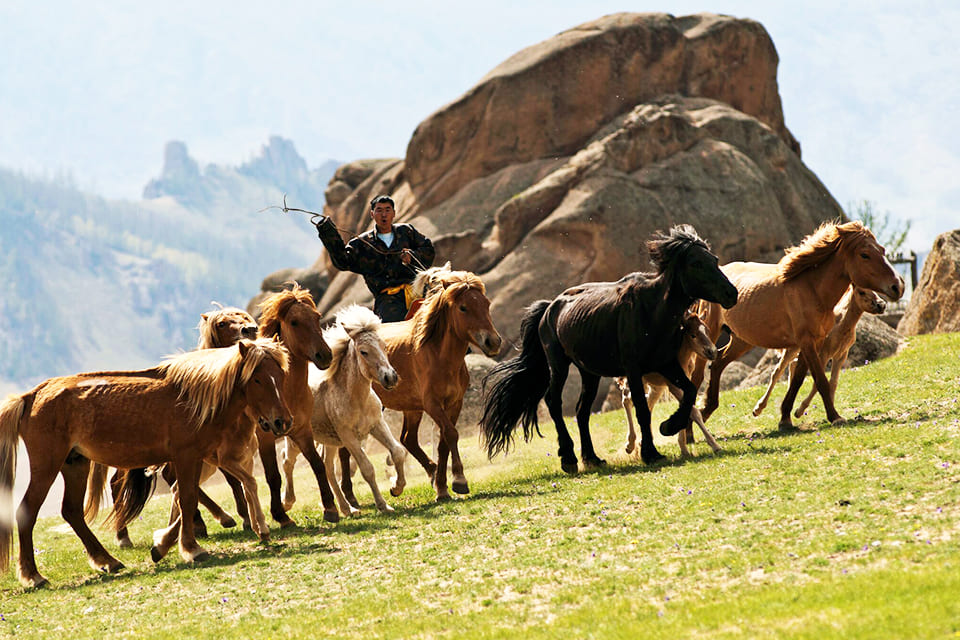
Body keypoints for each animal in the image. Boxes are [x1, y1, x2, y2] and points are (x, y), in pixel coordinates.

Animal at [0, 338, 291, 588]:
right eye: (257, 379)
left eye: (281, 376)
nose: (282, 422)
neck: (192, 399)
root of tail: (31, 397)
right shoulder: (186, 456)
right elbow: (187, 499)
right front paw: (192, 549)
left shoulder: (199, 457)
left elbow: (187, 497)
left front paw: (166, 546)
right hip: (47, 466)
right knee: (28, 511)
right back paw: (33, 575)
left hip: (75, 465)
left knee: (72, 511)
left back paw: (108, 561)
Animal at [280, 305, 407, 516]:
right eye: (363, 351)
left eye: (383, 345)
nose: (390, 377)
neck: (356, 399)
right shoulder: (348, 437)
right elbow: (367, 469)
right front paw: (384, 505)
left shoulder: (377, 425)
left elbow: (397, 452)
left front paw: (396, 488)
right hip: (296, 440)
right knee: (287, 461)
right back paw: (287, 502)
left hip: (330, 441)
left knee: (327, 467)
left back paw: (348, 509)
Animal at [369, 268, 502, 501]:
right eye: (463, 307)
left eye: (486, 304)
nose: (493, 342)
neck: (439, 356)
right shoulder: (432, 404)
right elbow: (451, 434)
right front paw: (459, 481)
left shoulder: (453, 403)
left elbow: (443, 443)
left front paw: (442, 486)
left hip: (411, 409)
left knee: (408, 439)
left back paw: (425, 476)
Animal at [618, 311, 722, 459]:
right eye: (693, 335)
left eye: (707, 331)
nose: (712, 352)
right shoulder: (672, 384)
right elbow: (694, 411)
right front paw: (714, 445)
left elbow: (686, 407)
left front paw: (684, 448)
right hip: (637, 378)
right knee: (627, 399)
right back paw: (630, 444)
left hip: (657, 386)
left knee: (647, 403)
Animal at [751, 285, 886, 419]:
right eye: (862, 292)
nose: (882, 305)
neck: (841, 325)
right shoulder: (823, 354)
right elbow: (818, 382)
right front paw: (800, 411)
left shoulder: (841, 355)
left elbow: (833, 382)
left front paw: (832, 411)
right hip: (792, 349)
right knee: (777, 372)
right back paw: (758, 408)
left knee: (792, 365)